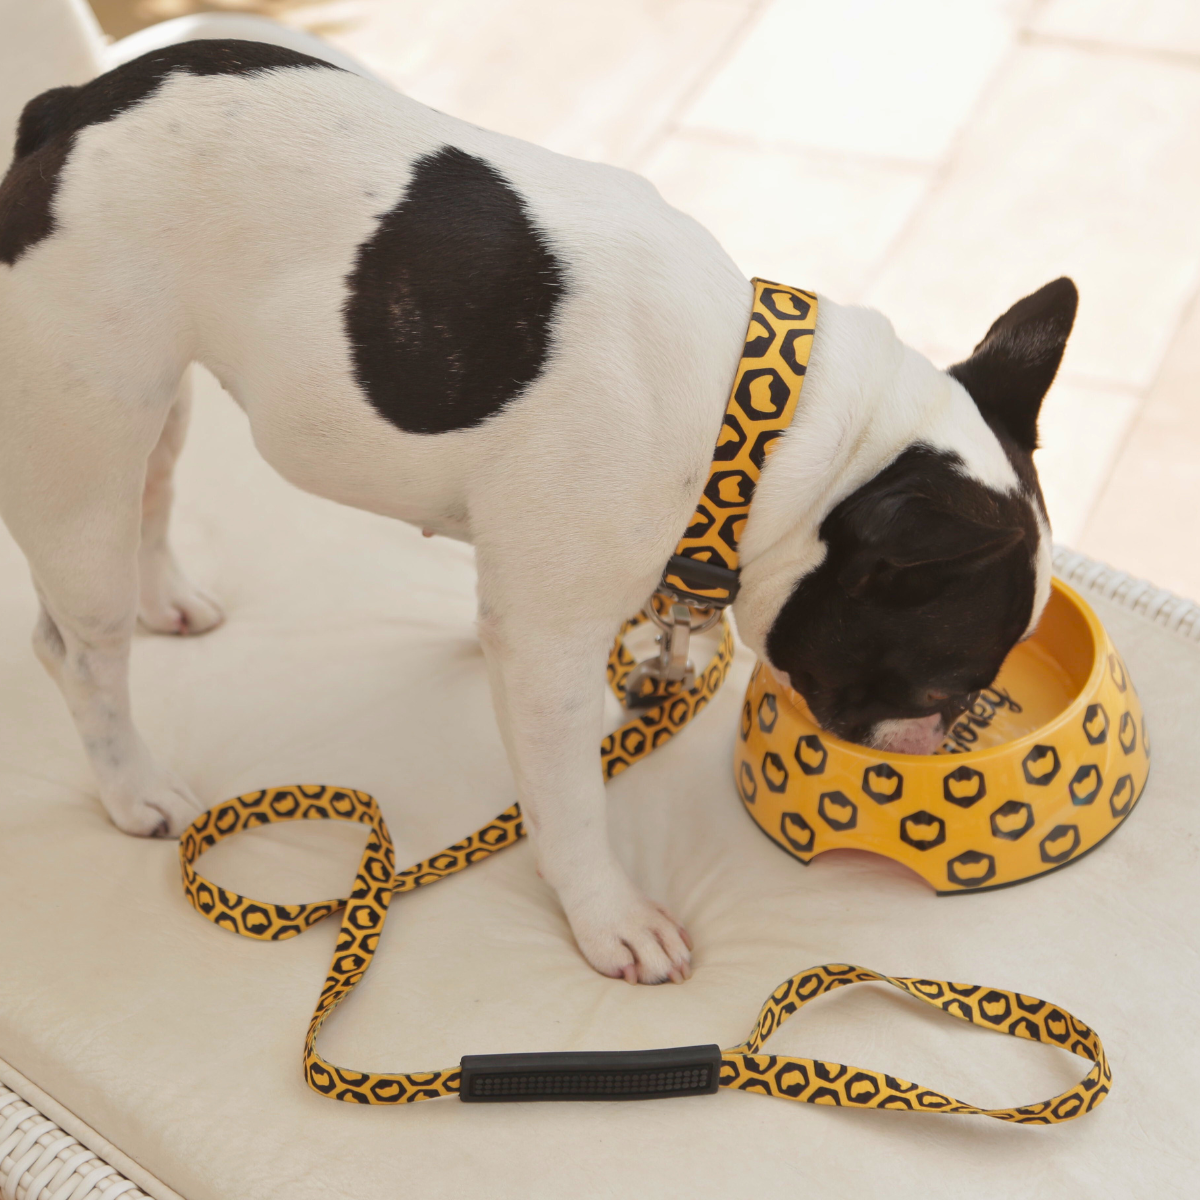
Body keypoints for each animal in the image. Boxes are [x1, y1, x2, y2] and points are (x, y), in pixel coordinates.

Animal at [0, 42, 1075, 984]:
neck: (759, 421)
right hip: (76, 429)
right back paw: (135, 787)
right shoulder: (551, 649)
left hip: (149, 400)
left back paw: (168, 599)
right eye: (947, 686)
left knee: (153, 487)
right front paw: (612, 921)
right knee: (80, 646)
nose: (933, 741)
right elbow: (570, 802)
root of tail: (67, 111)